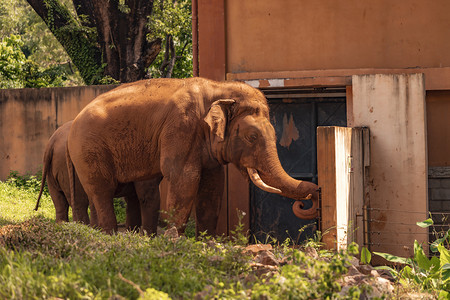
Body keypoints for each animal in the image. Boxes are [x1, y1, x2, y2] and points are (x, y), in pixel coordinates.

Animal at [67, 77, 320, 234]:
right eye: (252, 137)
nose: (315, 193)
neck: (219, 88)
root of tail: (71, 123)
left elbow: (212, 185)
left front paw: (208, 243)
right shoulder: (182, 126)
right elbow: (185, 179)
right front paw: (174, 240)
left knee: (98, 195)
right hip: (89, 149)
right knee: (102, 191)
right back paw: (110, 235)